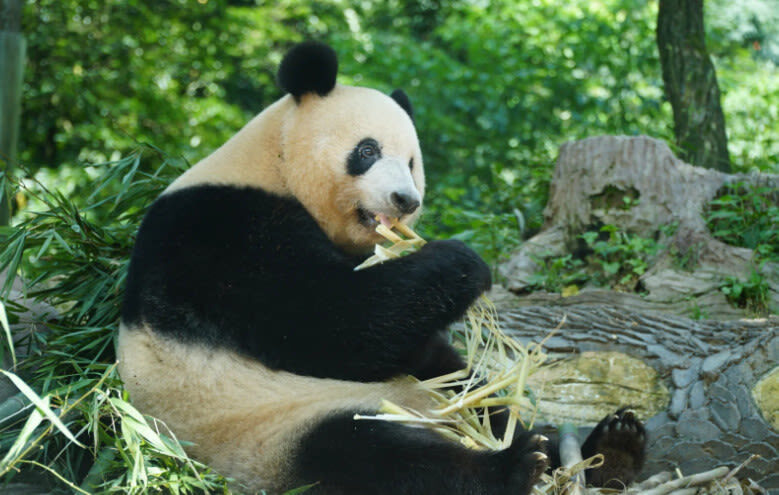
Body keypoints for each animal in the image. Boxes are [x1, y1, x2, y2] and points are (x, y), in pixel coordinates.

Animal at [118, 41, 646, 494]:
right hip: (267, 431)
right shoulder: (221, 233)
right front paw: (463, 261)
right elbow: (332, 323)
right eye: (367, 151)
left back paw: (608, 448)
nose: (405, 200)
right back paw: (514, 468)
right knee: (374, 459)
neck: (273, 164)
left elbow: (413, 344)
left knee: (478, 397)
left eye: (412, 162)